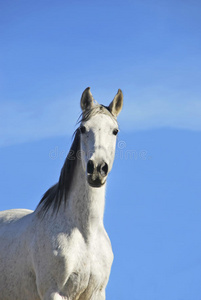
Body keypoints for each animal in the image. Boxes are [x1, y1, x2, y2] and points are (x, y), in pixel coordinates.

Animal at [0, 88, 123, 298]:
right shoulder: (55, 292)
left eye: (114, 131)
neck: (85, 233)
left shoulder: (96, 294)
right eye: (83, 129)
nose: (97, 169)